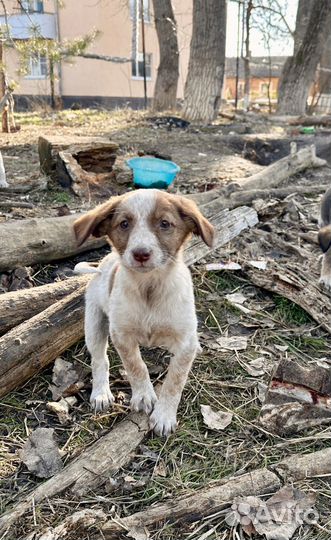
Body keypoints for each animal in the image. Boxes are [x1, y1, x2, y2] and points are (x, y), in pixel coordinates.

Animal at [73, 189, 215, 434]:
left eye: (165, 223)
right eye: (124, 224)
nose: (141, 254)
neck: (150, 288)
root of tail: (100, 266)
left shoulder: (184, 340)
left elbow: (175, 380)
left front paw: (164, 415)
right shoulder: (122, 335)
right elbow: (136, 366)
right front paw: (144, 396)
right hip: (94, 324)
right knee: (100, 359)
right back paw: (101, 393)